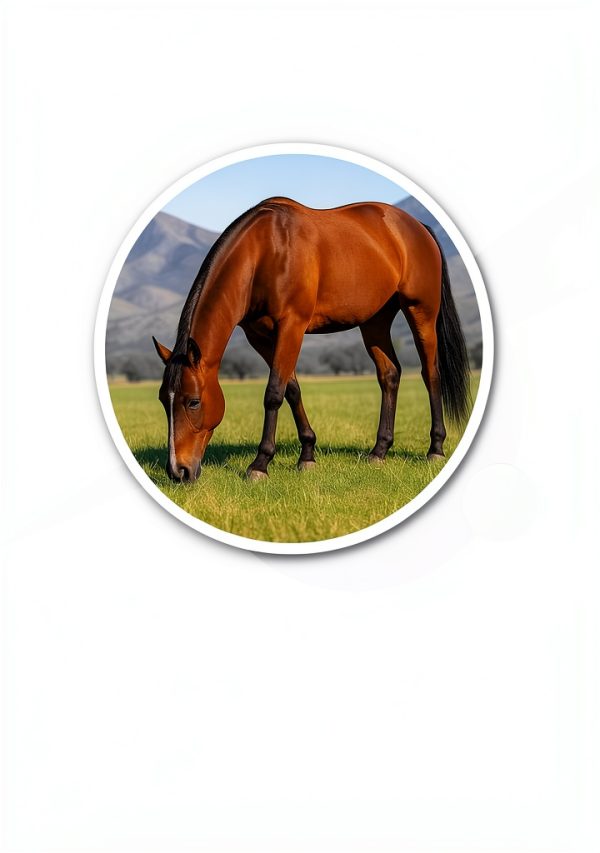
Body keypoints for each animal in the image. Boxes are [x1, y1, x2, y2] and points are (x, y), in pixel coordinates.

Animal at [152, 197, 471, 482]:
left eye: (193, 402)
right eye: (163, 400)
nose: (178, 471)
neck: (265, 252)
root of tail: (418, 226)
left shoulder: (291, 326)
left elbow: (274, 393)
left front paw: (260, 464)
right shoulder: (260, 336)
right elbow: (291, 390)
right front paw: (307, 455)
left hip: (421, 312)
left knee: (431, 374)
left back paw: (435, 448)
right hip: (375, 322)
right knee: (389, 374)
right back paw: (379, 451)